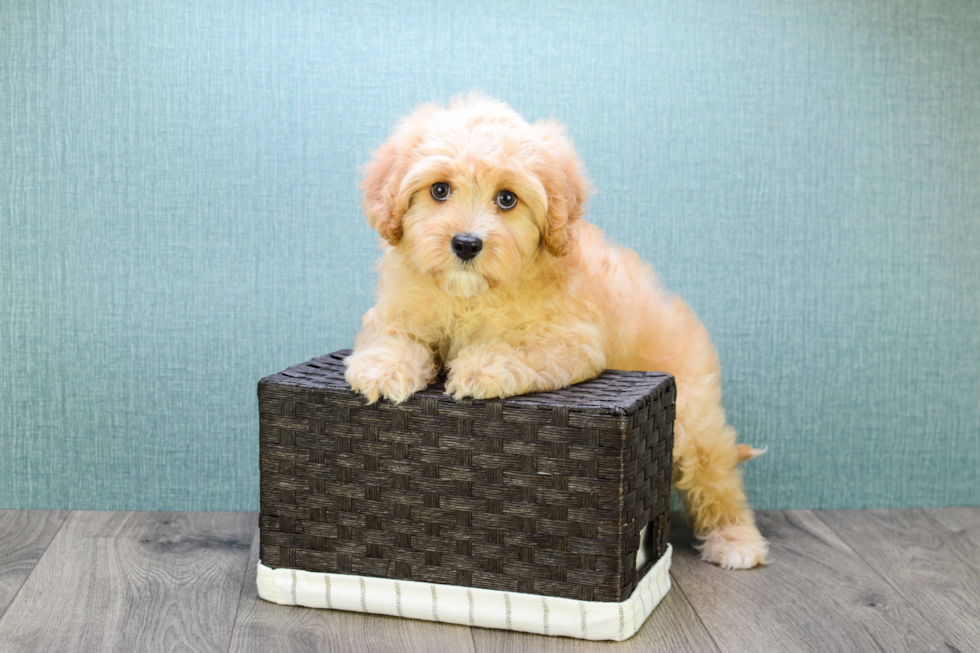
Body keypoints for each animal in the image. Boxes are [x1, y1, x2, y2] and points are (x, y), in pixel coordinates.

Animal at [348, 94, 768, 568]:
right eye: (440, 190)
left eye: (507, 199)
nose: (466, 244)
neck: (469, 295)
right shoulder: (397, 312)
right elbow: (394, 338)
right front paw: (382, 370)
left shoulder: (573, 340)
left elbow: (518, 347)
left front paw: (479, 370)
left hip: (693, 416)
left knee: (717, 474)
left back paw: (736, 540)